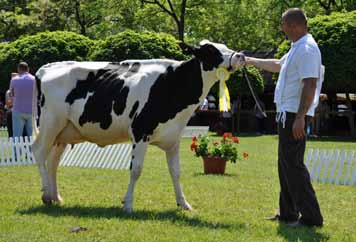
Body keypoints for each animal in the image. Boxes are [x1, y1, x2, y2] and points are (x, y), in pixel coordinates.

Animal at [32, 40, 245, 213]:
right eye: (211, 50)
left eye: (225, 46)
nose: (240, 56)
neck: (172, 84)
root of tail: (46, 68)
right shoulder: (140, 132)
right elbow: (136, 169)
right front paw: (128, 204)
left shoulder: (173, 138)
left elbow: (176, 172)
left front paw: (184, 204)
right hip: (50, 123)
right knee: (39, 151)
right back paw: (46, 194)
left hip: (64, 132)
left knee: (53, 161)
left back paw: (55, 197)